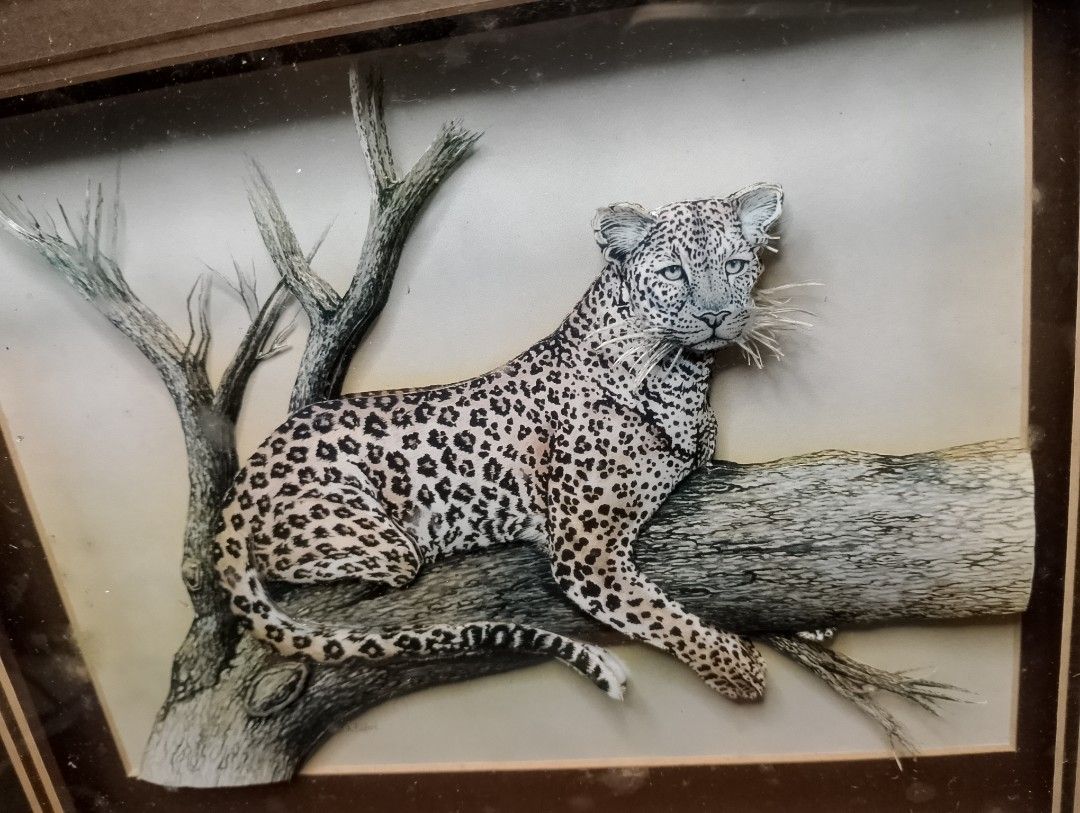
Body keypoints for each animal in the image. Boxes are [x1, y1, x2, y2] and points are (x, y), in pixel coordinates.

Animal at [212, 183, 785, 702]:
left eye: (736, 265)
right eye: (672, 272)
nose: (715, 316)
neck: (685, 376)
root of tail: (246, 475)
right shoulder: (586, 550)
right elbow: (656, 613)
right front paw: (736, 667)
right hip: (382, 545)